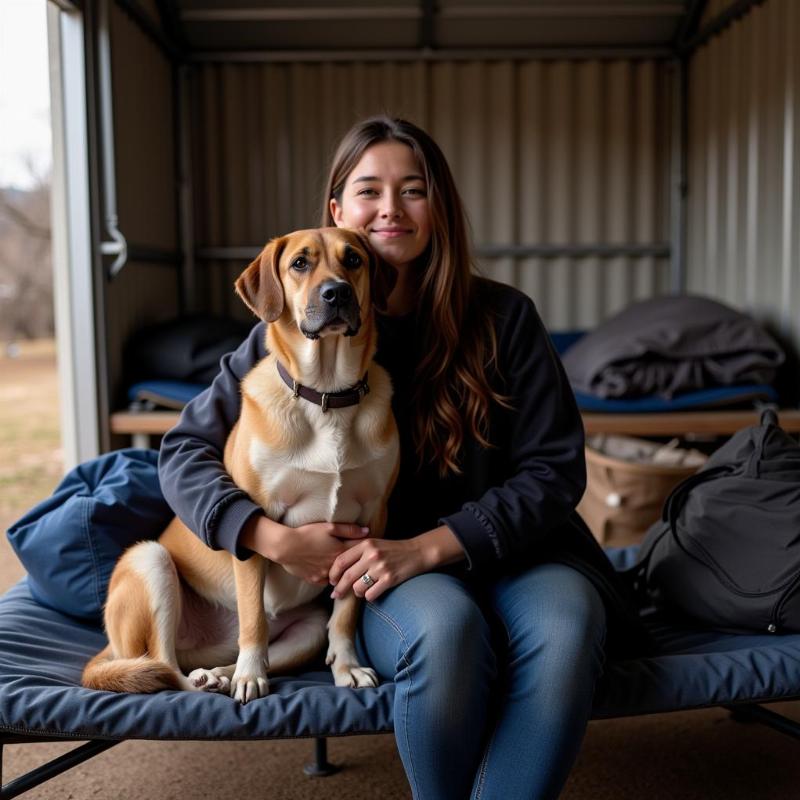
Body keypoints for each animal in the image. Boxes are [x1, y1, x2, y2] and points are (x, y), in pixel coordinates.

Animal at [83, 225, 400, 700]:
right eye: (300, 263)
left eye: (353, 260)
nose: (337, 293)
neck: (326, 394)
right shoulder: (254, 527)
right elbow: (252, 619)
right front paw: (252, 676)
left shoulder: (369, 522)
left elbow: (345, 613)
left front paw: (346, 666)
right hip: (150, 560)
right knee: (166, 667)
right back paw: (213, 678)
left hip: (306, 629)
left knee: (235, 655)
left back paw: (222, 673)